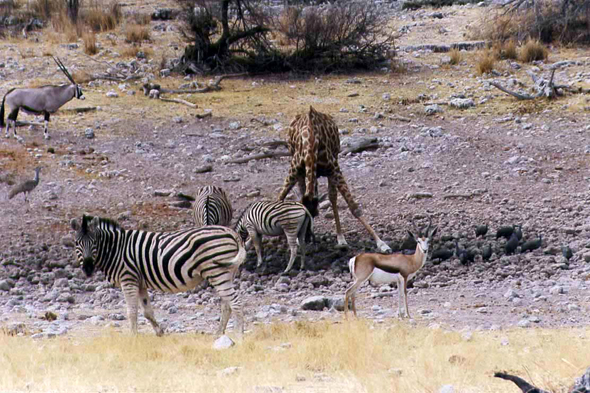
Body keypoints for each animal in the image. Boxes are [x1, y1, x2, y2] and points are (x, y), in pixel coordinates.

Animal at [71, 214, 247, 336]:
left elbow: (132, 311)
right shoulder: (140, 282)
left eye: (94, 243)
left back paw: (238, 336)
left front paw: (133, 337)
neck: (116, 249)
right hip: (226, 273)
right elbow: (147, 311)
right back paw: (218, 335)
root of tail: (231, 232)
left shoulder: (128, 279)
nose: (88, 269)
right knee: (227, 305)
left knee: (236, 302)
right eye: (77, 243)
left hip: (217, 272)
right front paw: (160, 332)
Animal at [278, 105, 394, 253]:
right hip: (301, 173)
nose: (307, 238)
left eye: (316, 214)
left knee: (332, 196)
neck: (311, 142)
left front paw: (382, 243)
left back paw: (341, 238)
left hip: (332, 164)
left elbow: (354, 207)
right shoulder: (294, 170)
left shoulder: (334, 169)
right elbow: (279, 198)